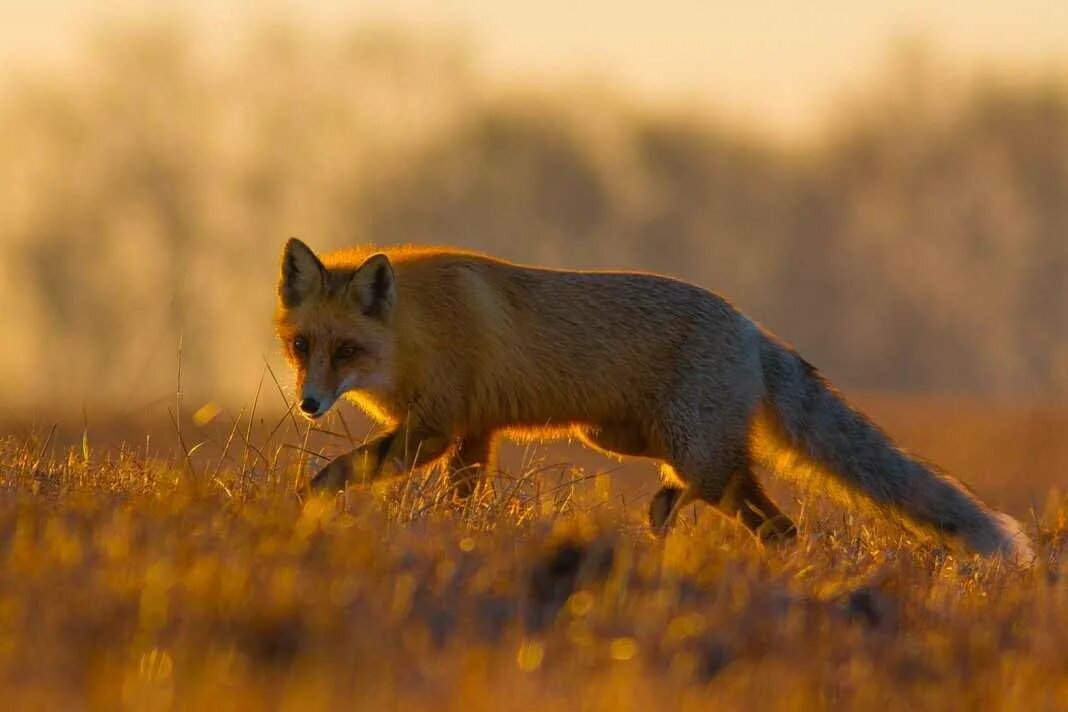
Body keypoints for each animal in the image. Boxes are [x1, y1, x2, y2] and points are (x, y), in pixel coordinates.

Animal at [275, 239, 1033, 563]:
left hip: (685, 446)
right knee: (757, 515)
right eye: (303, 346)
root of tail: (752, 326)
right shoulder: (475, 433)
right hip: (624, 438)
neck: (415, 332)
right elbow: (462, 499)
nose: (310, 405)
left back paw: (678, 523)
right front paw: (456, 536)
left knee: (725, 495)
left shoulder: (434, 429)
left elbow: (339, 470)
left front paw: (300, 508)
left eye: (347, 351)